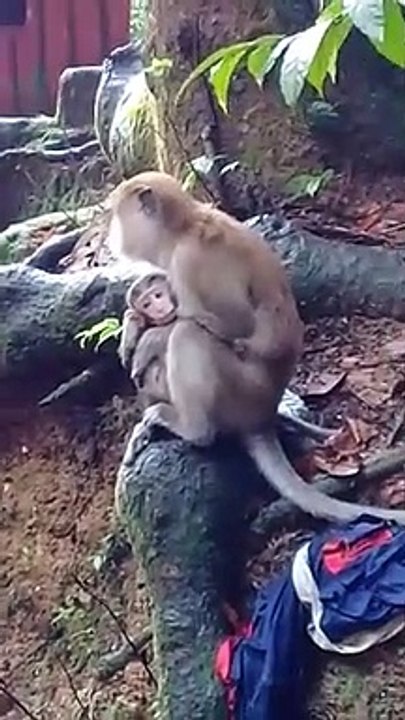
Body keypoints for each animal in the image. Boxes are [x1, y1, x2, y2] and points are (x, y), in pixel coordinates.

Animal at [107, 171, 405, 525]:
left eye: (117, 215)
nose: (111, 236)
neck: (182, 230)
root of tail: (263, 415)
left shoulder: (189, 263)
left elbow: (233, 323)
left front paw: (150, 338)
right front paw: (133, 326)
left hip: (242, 394)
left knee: (189, 336)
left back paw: (192, 428)